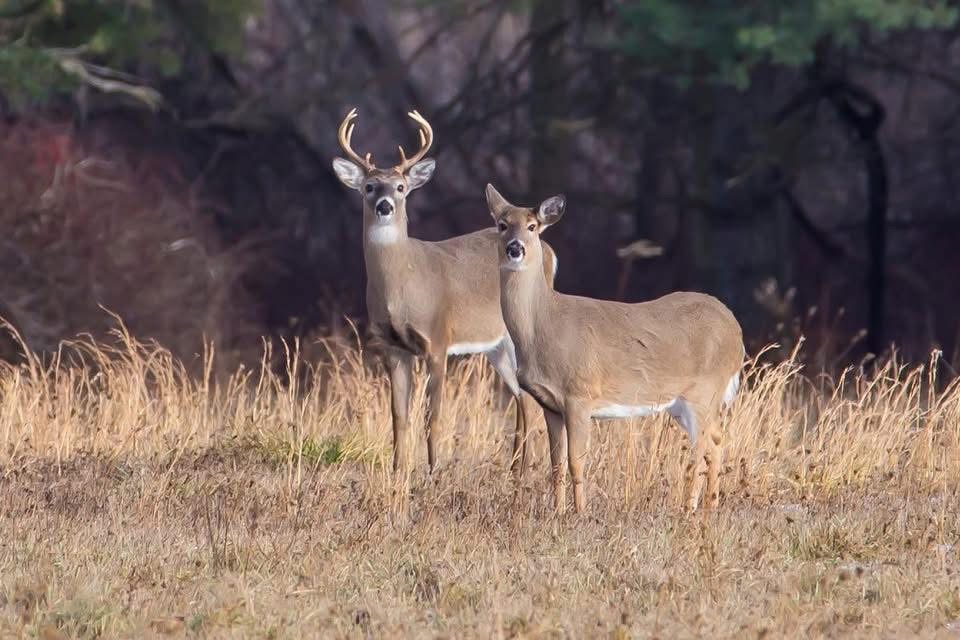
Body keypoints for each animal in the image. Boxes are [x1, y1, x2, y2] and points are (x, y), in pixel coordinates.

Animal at [331, 108, 557, 480]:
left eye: (401, 187)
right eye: (368, 186)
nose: (384, 206)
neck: (401, 288)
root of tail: (549, 252)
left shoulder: (438, 339)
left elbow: (432, 415)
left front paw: (433, 470)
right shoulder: (392, 346)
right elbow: (399, 416)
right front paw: (398, 470)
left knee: (528, 397)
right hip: (496, 346)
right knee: (520, 397)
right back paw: (515, 470)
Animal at [485, 184, 744, 513]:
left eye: (532, 226)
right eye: (502, 225)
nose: (515, 248)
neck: (544, 325)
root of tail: (735, 329)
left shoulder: (580, 394)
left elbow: (576, 461)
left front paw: (580, 512)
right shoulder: (550, 404)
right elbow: (556, 464)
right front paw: (557, 511)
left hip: (704, 391)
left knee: (702, 448)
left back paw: (689, 509)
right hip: (685, 402)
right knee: (717, 441)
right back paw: (709, 506)